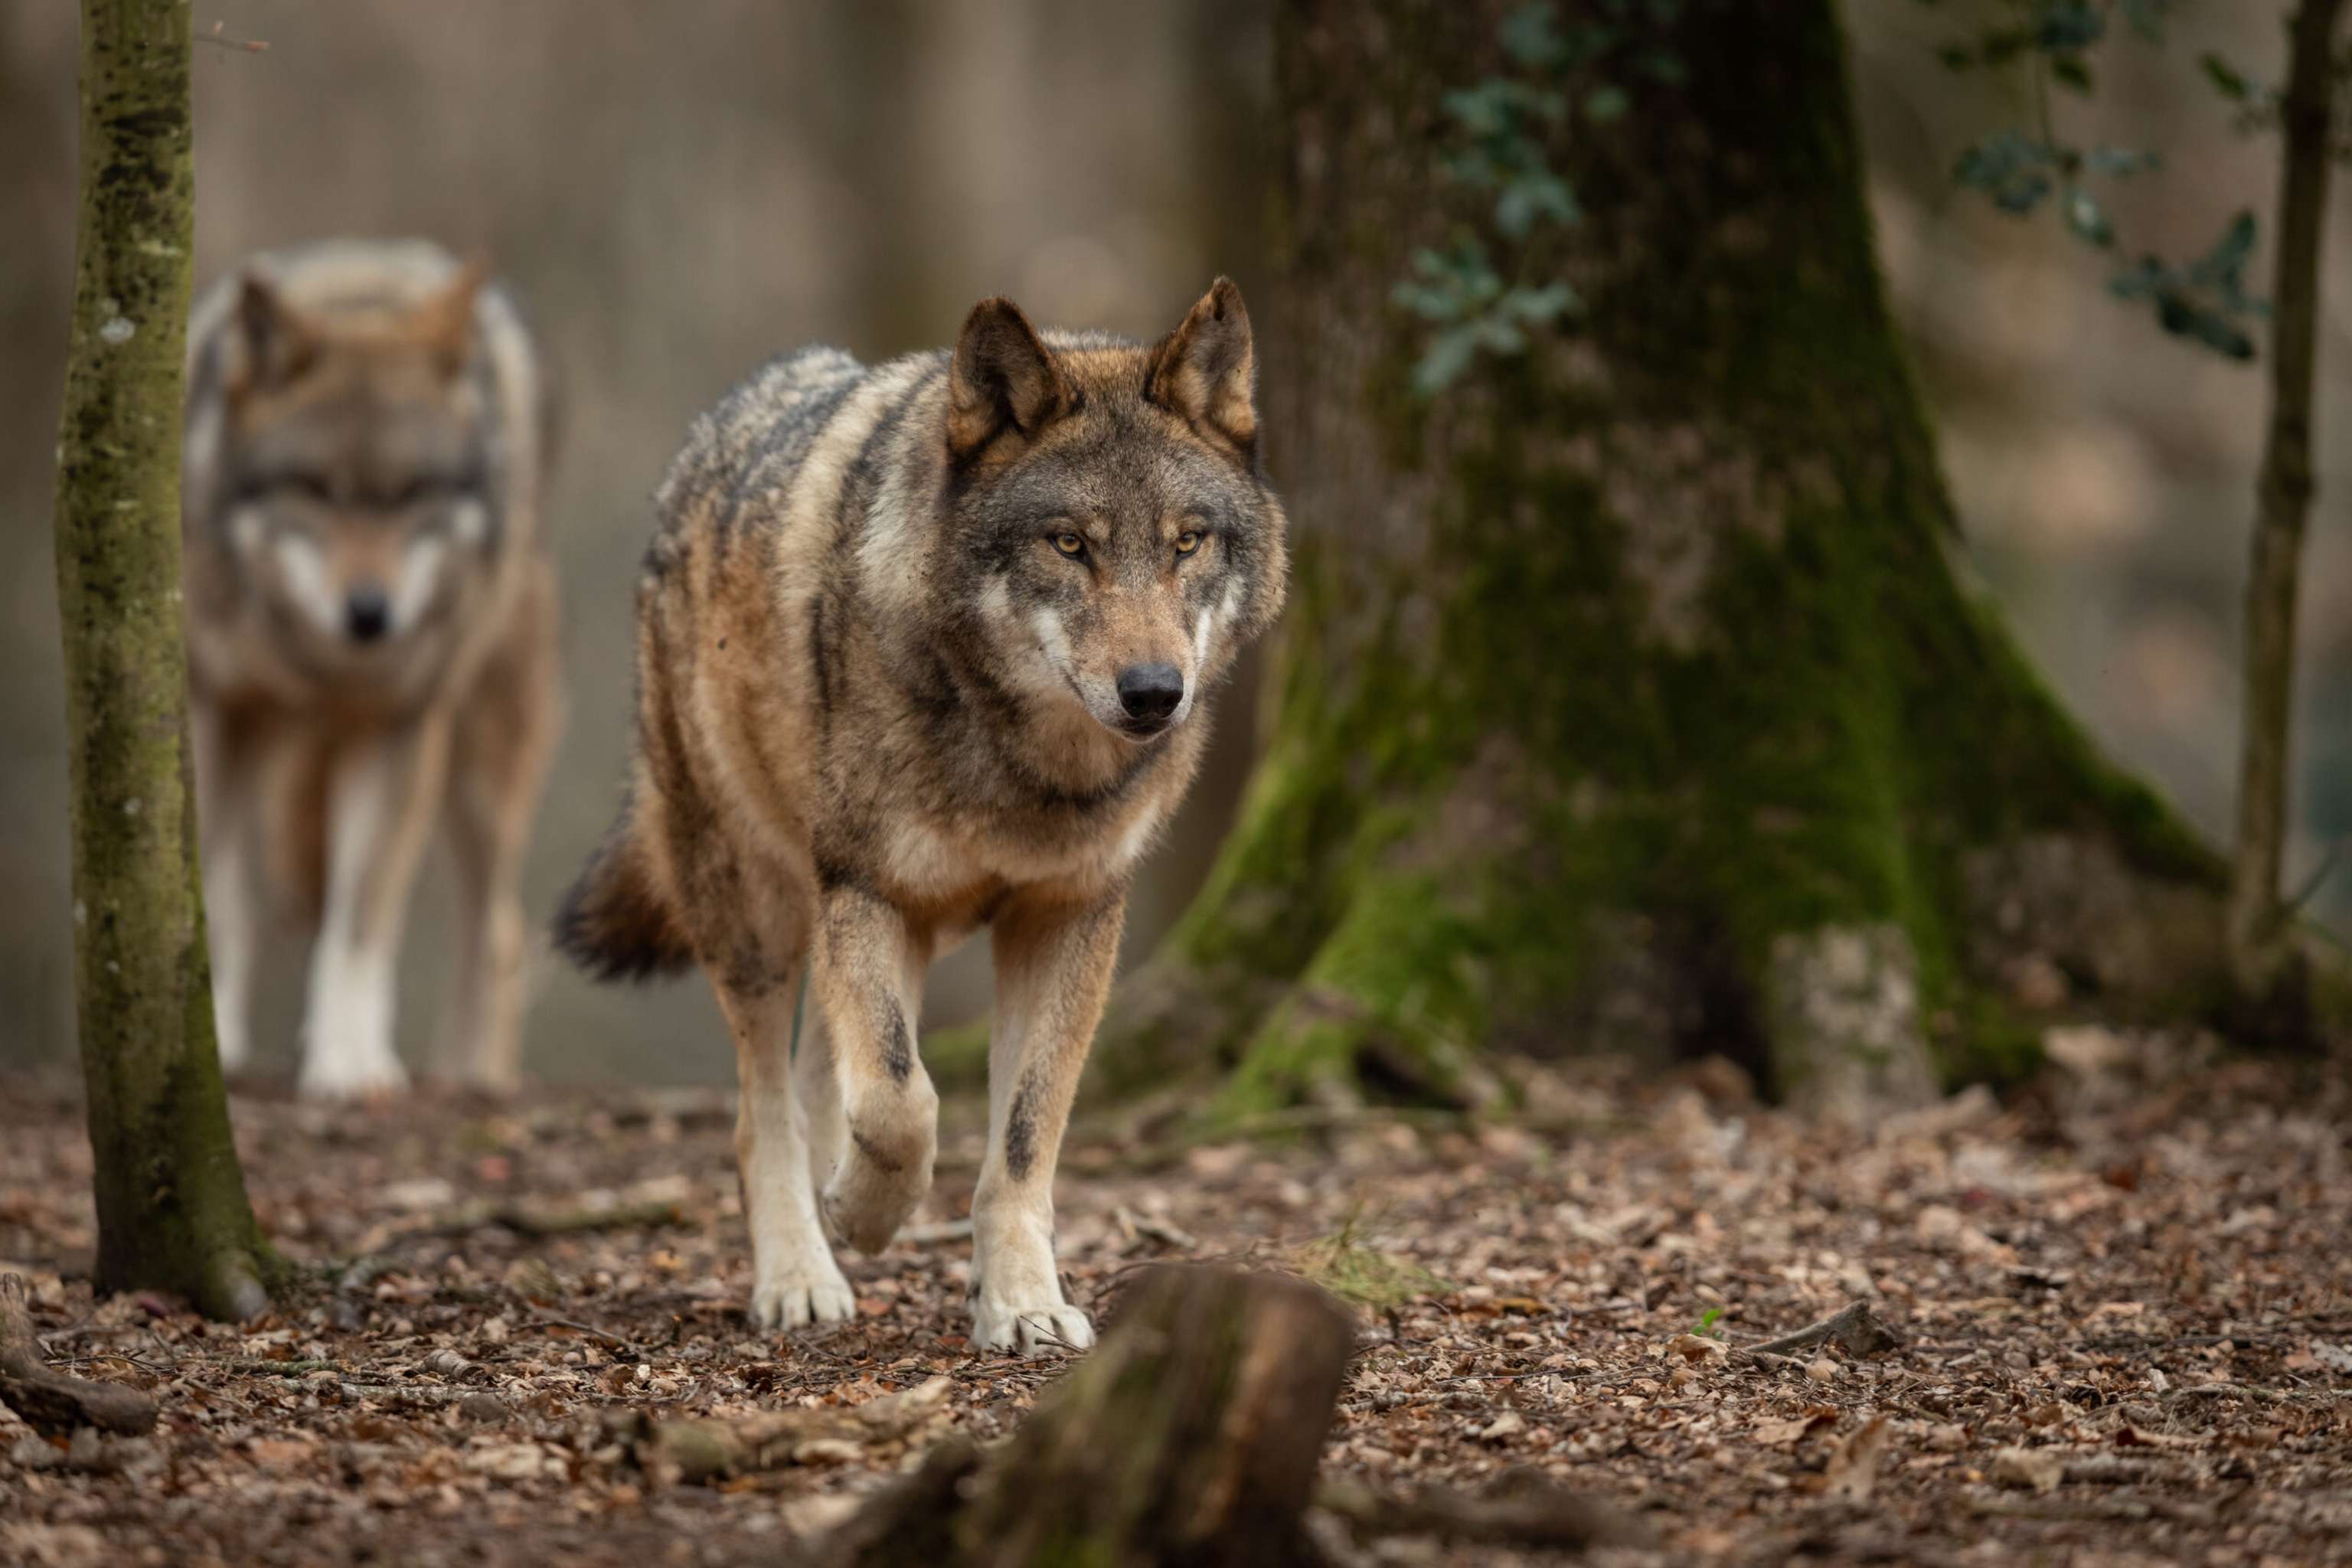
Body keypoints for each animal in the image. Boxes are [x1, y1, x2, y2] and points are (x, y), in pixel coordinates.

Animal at [182, 240, 563, 1098]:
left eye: (411, 494)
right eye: (317, 490)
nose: (369, 613)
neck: (320, 670)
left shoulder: (397, 728)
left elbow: (357, 925)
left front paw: (349, 1067)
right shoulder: (212, 716)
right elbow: (211, 901)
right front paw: (210, 1041)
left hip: (482, 775)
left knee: (499, 935)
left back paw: (472, 1077)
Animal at [556, 280, 1285, 1352]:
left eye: (1187, 541)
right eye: (1070, 543)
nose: (1156, 693)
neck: (1025, 771)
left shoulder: (1070, 914)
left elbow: (1023, 1135)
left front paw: (1021, 1300)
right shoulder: (870, 888)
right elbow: (905, 1098)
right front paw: (867, 1212)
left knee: (820, 1072)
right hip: (758, 908)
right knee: (765, 1111)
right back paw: (800, 1272)